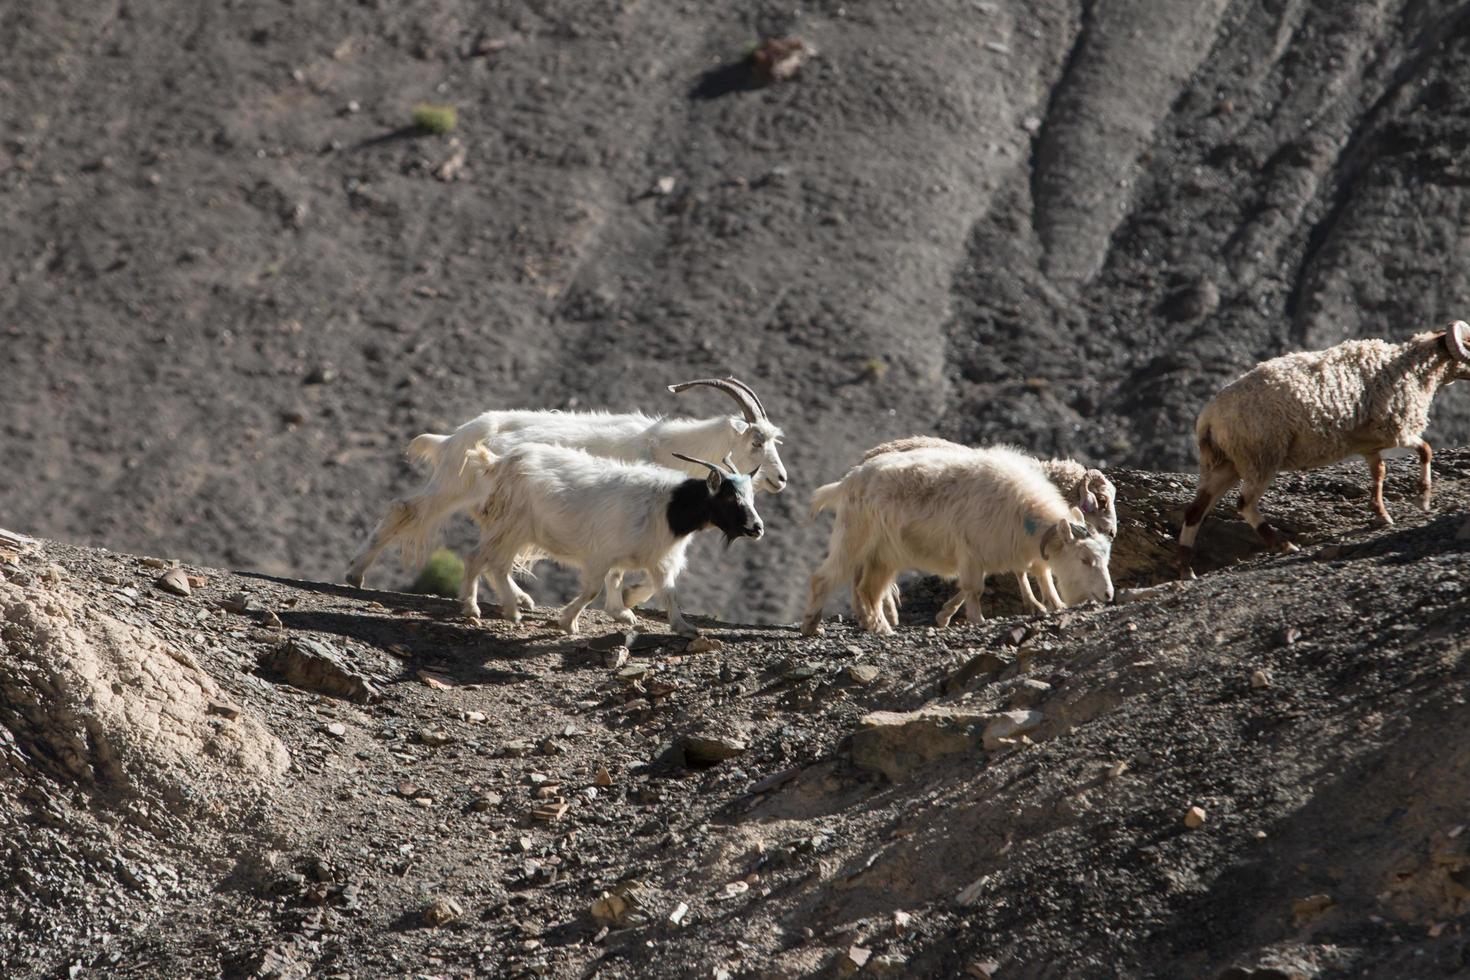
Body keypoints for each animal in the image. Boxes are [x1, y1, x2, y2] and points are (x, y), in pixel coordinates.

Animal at [343, 379, 787, 590]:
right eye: (756, 441)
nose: (781, 478)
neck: (666, 447)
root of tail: (457, 436)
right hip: (455, 487)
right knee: (406, 509)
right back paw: (355, 575)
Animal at [458, 443, 764, 637]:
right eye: (729, 498)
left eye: (751, 496)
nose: (758, 528)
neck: (669, 507)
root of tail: (501, 461)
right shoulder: (602, 554)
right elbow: (593, 590)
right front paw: (568, 622)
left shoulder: (652, 558)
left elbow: (660, 588)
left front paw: (679, 625)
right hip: (511, 525)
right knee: (485, 561)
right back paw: (489, 608)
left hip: (515, 530)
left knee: (493, 563)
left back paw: (513, 603)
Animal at [805, 446, 1111, 637]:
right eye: (1085, 559)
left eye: (1105, 557)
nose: (1108, 595)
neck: (1021, 508)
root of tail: (845, 482)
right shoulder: (971, 553)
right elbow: (974, 589)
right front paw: (976, 620)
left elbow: (1041, 573)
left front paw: (1055, 604)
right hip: (854, 540)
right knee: (823, 578)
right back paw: (811, 625)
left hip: (884, 556)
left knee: (869, 590)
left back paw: (881, 628)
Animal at [1176, 321, 1470, 575]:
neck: (1412, 369)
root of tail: (1208, 418)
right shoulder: (1397, 430)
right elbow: (1426, 450)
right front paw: (1423, 499)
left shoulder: (1371, 447)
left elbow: (1379, 474)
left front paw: (1381, 514)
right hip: (1260, 457)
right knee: (1244, 504)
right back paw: (1284, 545)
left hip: (1226, 465)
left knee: (1195, 512)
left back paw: (1187, 571)